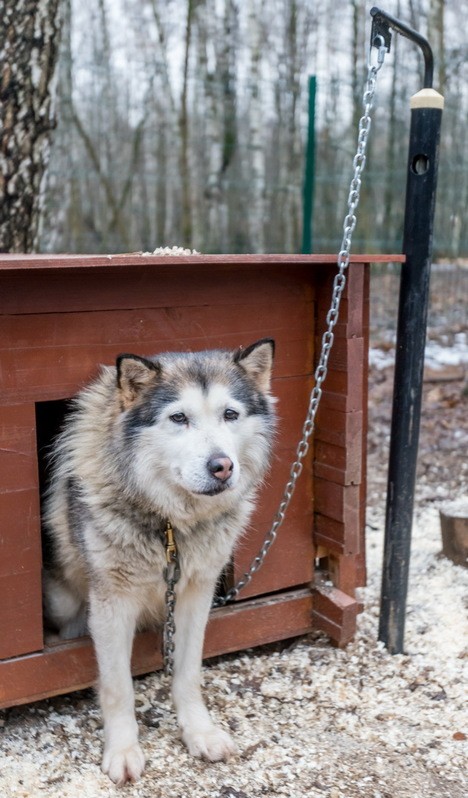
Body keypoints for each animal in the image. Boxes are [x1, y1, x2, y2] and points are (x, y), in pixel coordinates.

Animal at [42, 340, 276, 788]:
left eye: (230, 414)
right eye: (179, 418)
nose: (222, 466)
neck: (170, 526)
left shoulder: (196, 594)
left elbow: (188, 674)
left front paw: (199, 732)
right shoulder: (112, 604)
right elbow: (118, 687)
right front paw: (123, 751)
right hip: (63, 600)